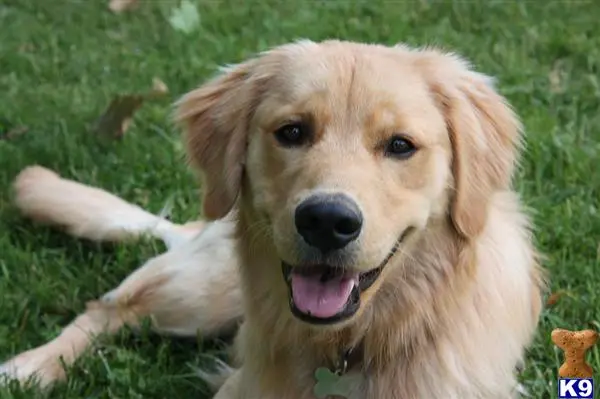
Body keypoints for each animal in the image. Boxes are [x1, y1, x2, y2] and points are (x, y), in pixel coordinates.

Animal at [0, 39, 544, 398]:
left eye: (400, 145)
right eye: (292, 131)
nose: (326, 221)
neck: (352, 344)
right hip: (203, 296)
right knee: (109, 307)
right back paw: (29, 369)